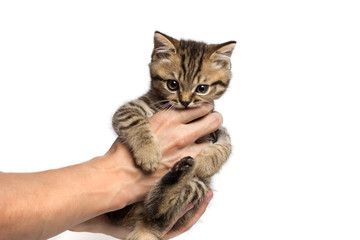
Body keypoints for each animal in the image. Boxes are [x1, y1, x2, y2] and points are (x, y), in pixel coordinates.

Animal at [108, 31, 235, 240]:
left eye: (202, 88)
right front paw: (148, 153)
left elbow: (227, 144)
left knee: (157, 211)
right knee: (153, 211)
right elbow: (134, 121)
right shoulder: (129, 109)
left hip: (198, 186)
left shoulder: (216, 126)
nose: (185, 101)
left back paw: (180, 172)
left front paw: (206, 162)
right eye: (172, 84)